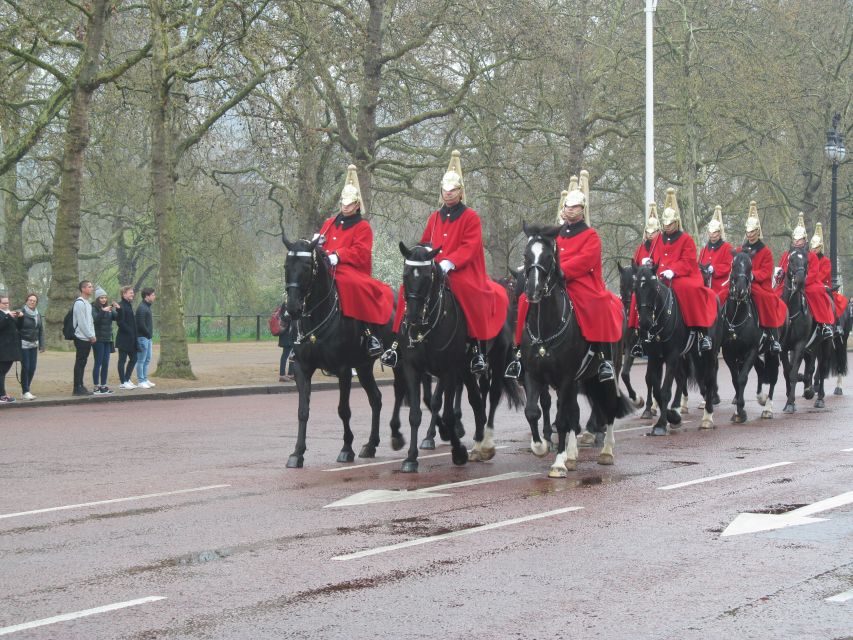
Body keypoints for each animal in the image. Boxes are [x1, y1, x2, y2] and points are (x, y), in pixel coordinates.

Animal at [392, 242, 520, 472]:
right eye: (406, 275)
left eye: (427, 277)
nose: (413, 318)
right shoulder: (413, 368)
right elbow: (416, 413)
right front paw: (411, 458)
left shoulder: (448, 370)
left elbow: (444, 410)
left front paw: (458, 451)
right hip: (467, 368)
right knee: (476, 399)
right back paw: (477, 440)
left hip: (496, 359)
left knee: (493, 395)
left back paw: (486, 442)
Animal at [516, 222, 628, 478]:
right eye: (526, 255)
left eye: (548, 256)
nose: (533, 291)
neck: (546, 328)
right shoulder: (533, 375)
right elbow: (533, 411)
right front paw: (541, 446)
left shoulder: (566, 377)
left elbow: (561, 419)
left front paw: (558, 463)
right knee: (573, 410)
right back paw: (573, 455)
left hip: (609, 373)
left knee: (609, 405)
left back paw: (606, 451)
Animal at [632, 262, 720, 436]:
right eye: (635, 288)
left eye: (653, 288)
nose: (644, 322)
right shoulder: (655, 357)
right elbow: (655, 387)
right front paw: (673, 417)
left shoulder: (672, 356)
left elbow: (665, 390)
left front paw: (661, 424)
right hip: (691, 354)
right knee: (687, 378)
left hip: (710, 353)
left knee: (710, 378)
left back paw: (707, 417)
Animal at [720, 252, 780, 422]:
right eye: (733, 265)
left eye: (750, 266)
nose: (740, 290)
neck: (736, 317)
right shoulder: (728, 352)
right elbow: (736, 379)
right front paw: (738, 410)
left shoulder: (751, 350)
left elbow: (742, 378)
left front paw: (740, 410)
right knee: (760, 369)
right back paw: (761, 397)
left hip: (773, 352)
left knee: (773, 377)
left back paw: (768, 408)